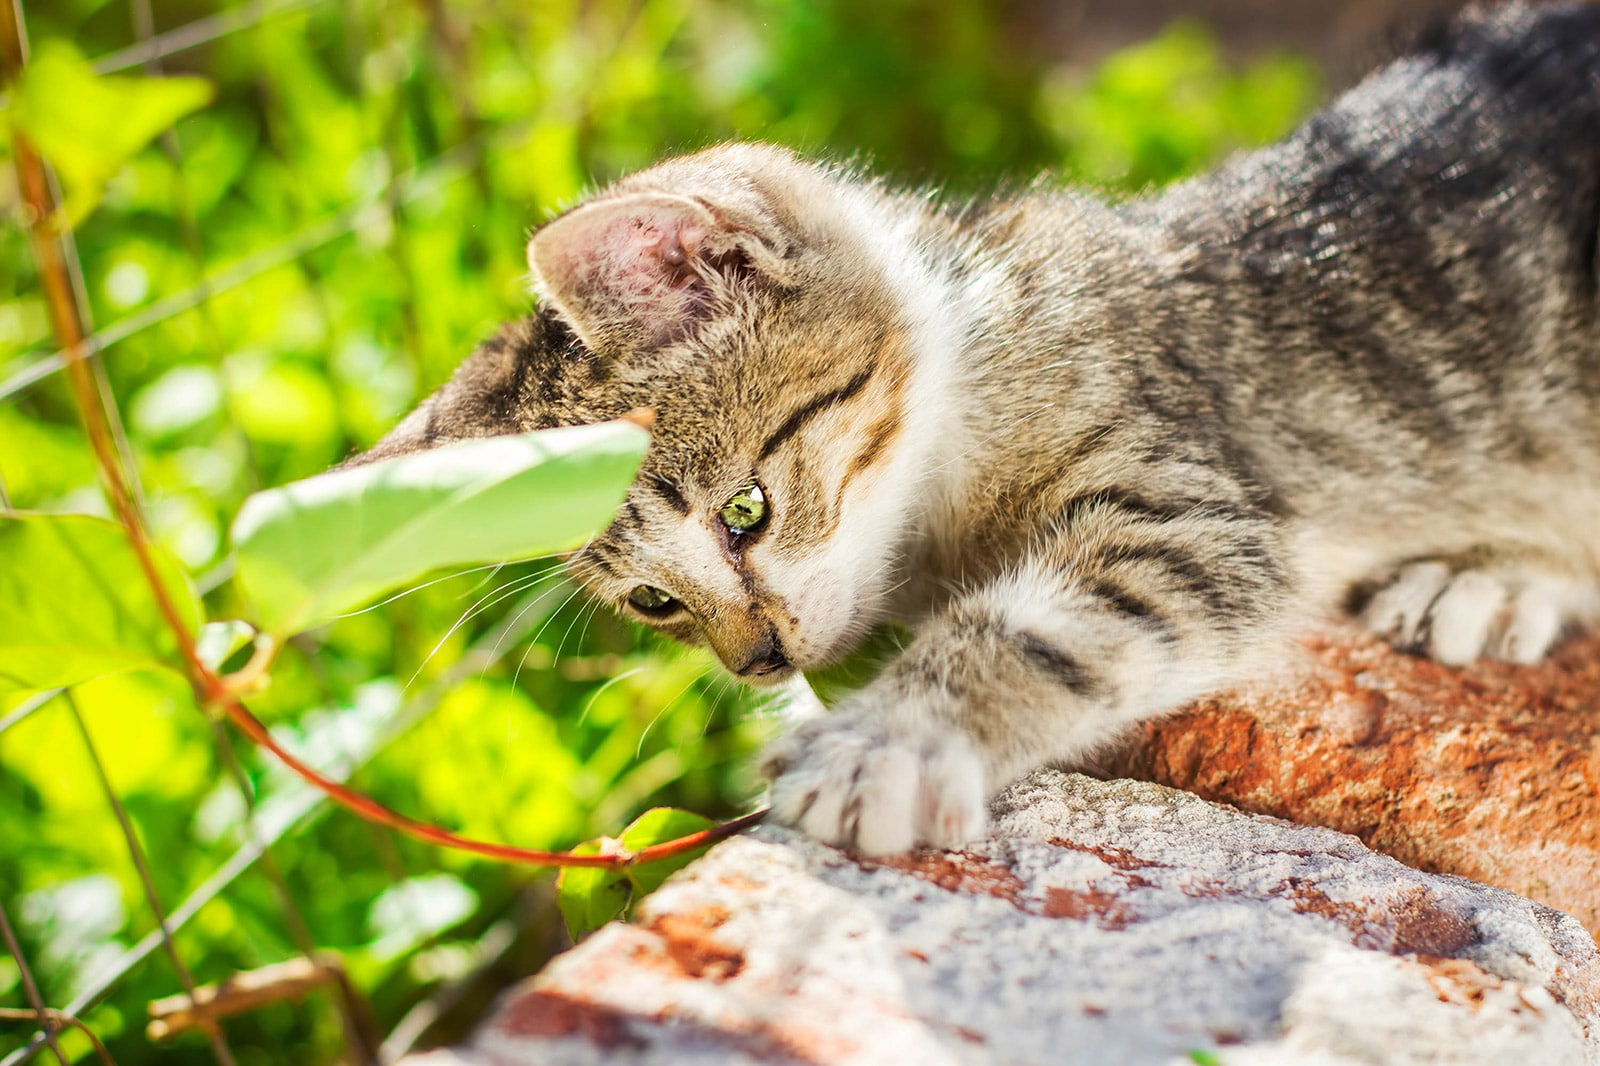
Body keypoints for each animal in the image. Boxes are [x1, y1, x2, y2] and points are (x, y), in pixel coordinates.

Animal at [366, 4, 1600, 857]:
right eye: (653, 603)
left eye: (745, 512)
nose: (760, 658)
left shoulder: (1190, 501)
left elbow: (1048, 627)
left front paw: (890, 741)